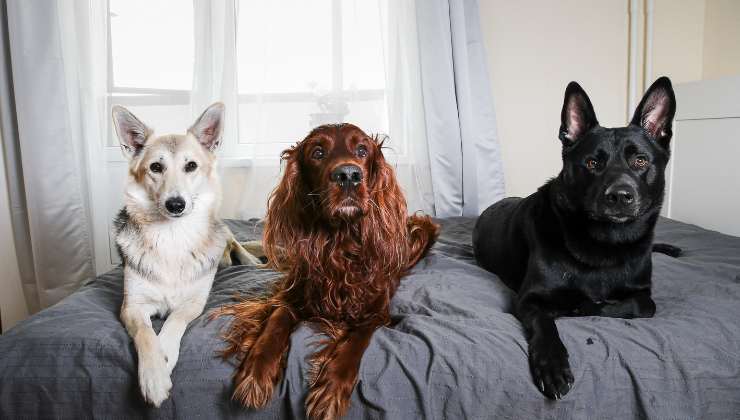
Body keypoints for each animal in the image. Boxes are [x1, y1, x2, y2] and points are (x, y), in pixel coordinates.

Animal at [110, 102, 260, 406]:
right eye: (156, 167)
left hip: (223, 229)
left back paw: (251, 259)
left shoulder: (193, 303)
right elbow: (146, 334)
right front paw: (154, 375)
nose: (176, 204)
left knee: (234, 243)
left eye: (190, 166)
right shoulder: (132, 307)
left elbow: (174, 320)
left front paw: (166, 351)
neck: (172, 235)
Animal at [218, 124, 440, 420]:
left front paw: (331, 390)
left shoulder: (375, 314)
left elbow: (354, 343)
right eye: (318, 153)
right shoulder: (291, 297)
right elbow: (275, 324)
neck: (339, 246)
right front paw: (256, 373)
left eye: (362, 150)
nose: (348, 175)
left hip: (423, 228)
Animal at [474, 77, 676, 398]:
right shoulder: (530, 300)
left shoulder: (642, 293)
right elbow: (546, 324)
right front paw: (553, 365)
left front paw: (588, 305)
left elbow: (641, 305)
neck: (606, 245)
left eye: (641, 161)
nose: (620, 196)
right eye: (592, 164)